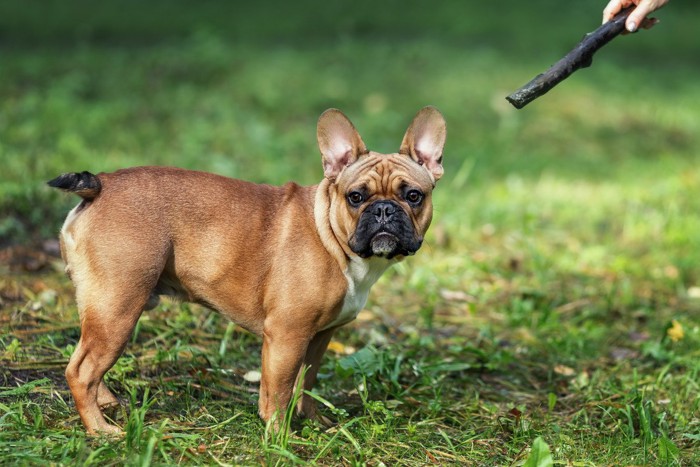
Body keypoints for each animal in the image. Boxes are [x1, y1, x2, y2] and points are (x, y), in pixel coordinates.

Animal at [47, 107, 448, 436]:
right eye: (356, 197)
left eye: (413, 196)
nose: (384, 210)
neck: (331, 235)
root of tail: (101, 183)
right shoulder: (287, 335)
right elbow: (278, 389)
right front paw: (281, 436)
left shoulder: (319, 336)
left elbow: (306, 382)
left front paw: (314, 422)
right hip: (118, 306)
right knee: (80, 370)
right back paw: (101, 430)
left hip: (107, 308)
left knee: (88, 359)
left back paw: (107, 405)